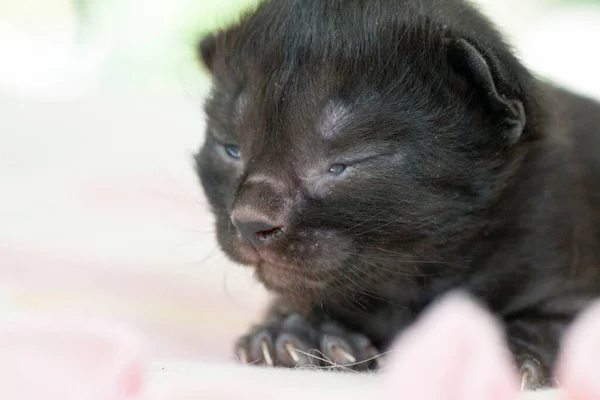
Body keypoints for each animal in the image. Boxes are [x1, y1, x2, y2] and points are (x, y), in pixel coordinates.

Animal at [195, 0, 600, 390]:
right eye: (230, 149)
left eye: (344, 163)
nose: (249, 223)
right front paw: (295, 331)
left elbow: (556, 324)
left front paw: (497, 351)